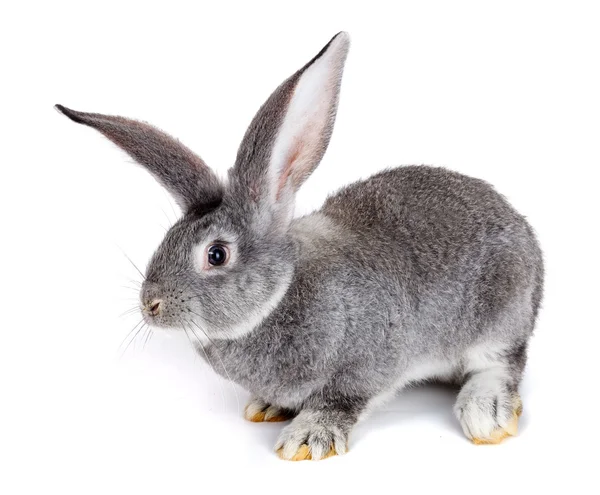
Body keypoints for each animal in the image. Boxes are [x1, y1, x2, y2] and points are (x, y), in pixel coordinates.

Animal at [56, 32, 544, 462]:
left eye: (216, 254)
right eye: (168, 238)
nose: (150, 305)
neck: (281, 294)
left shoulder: (369, 360)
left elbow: (342, 399)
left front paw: (308, 437)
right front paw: (270, 407)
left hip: (499, 313)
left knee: (503, 363)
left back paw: (486, 413)